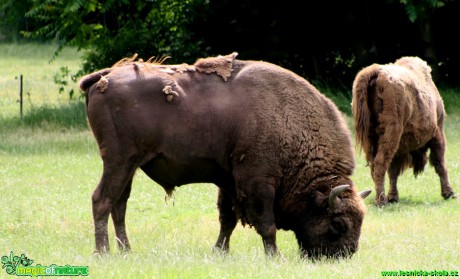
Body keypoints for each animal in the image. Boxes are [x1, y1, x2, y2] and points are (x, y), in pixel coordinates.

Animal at [79, 53, 372, 260]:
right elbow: (266, 224)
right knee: (102, 200)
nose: (344, 255)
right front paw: (274, 256)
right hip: (119, 161)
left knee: (119, 205)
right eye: (338, 223)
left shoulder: (228, 181)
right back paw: (102, 253)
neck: (289, 121)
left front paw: (220, 251)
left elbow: (227, 219)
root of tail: (105, 75)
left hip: (131, 165)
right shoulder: (258, 183)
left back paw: (126, 251)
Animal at [352, 55, 456, 207]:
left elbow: (393, 171)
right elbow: (440, 163)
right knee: (380, 163)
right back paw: (381, 201)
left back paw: (382, 198)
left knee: (375, 166)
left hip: (370, 138)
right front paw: (449, 193)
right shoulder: (438, 133)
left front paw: (393, 197)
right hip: (391, 132)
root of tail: (377, 72)